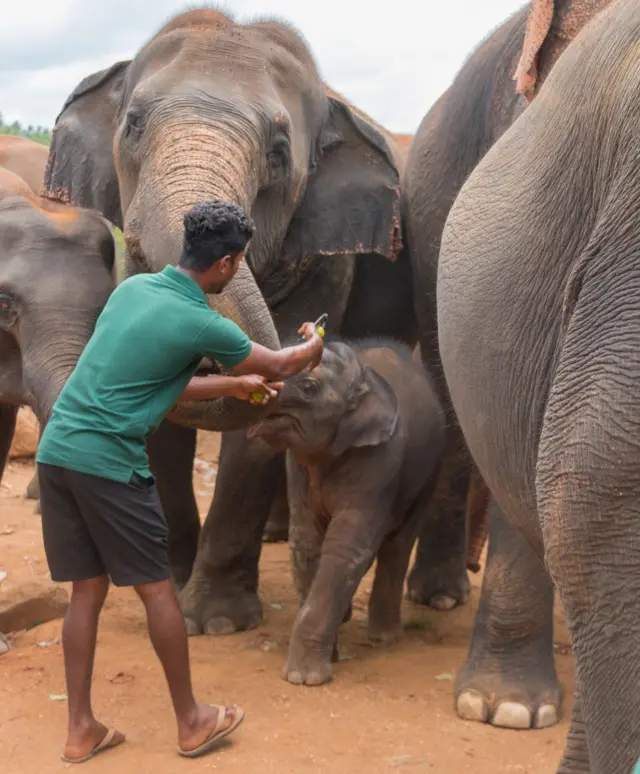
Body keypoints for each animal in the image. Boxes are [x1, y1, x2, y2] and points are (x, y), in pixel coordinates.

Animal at [40, 7, 472, 637]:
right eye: (133, 124)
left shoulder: (325, 256)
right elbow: (162, 419)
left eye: (278, 151)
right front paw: (172, 580)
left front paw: (215, 622)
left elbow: (256, 421)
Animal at [249, 338, 444, 685]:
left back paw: (385, 638)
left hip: (428, 473)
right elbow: (306, 544)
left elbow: (346, 548)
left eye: (308, 387)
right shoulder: (296, 466)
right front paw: (328, 655)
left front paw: (305, 678)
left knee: (398, 545)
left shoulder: (380, 460)